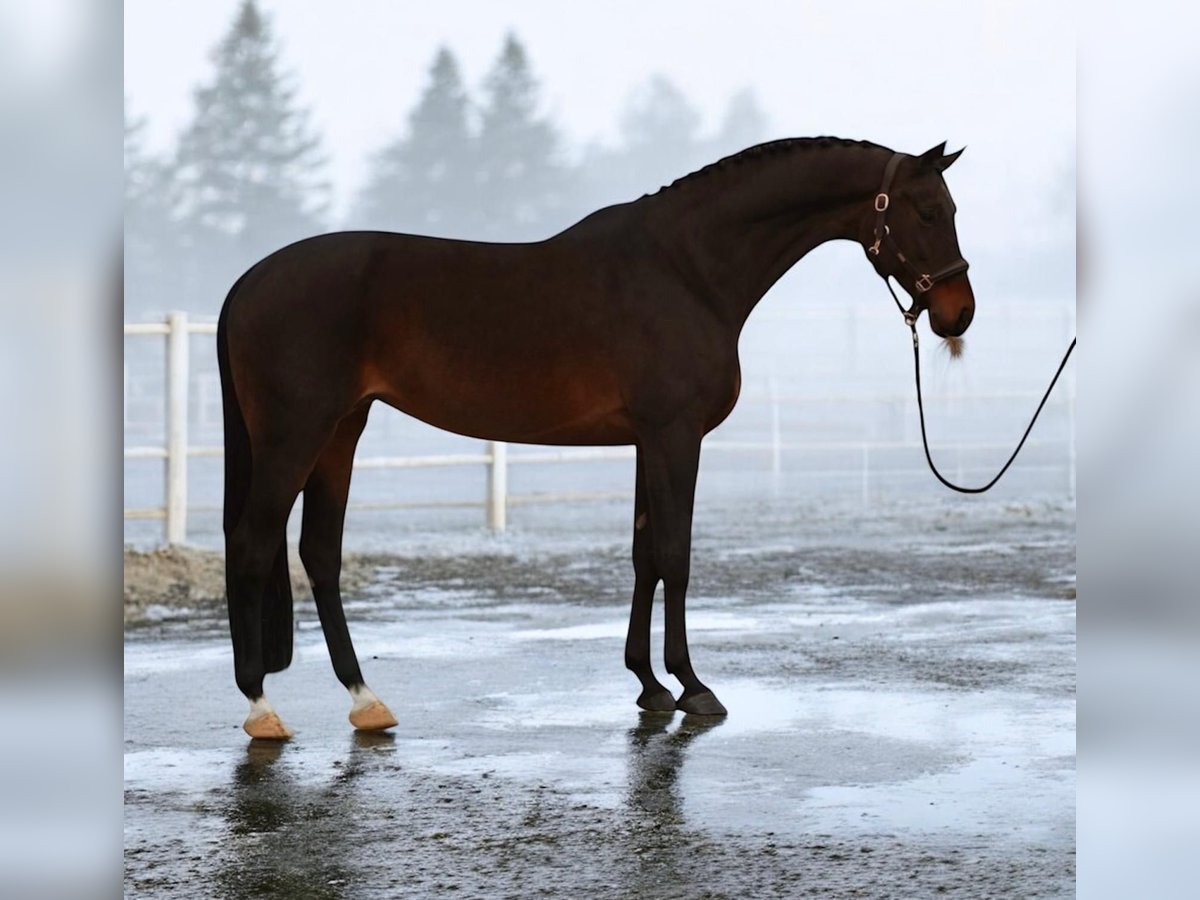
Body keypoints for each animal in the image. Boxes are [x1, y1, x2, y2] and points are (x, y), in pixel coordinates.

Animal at [218, 137, 974, 739]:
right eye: (927, 211)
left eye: (952, 210)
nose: (957, 313)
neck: (686, 270)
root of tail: (246, 283)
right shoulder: (675, 437)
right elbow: (676, 555)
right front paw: (693, 685)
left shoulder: (648, 441)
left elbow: (644, 555)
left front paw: (649, 685)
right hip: (297, 433)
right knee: (255, 543)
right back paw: (261, 708)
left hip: (341, 430)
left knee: (319, 553)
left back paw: (365, 700)